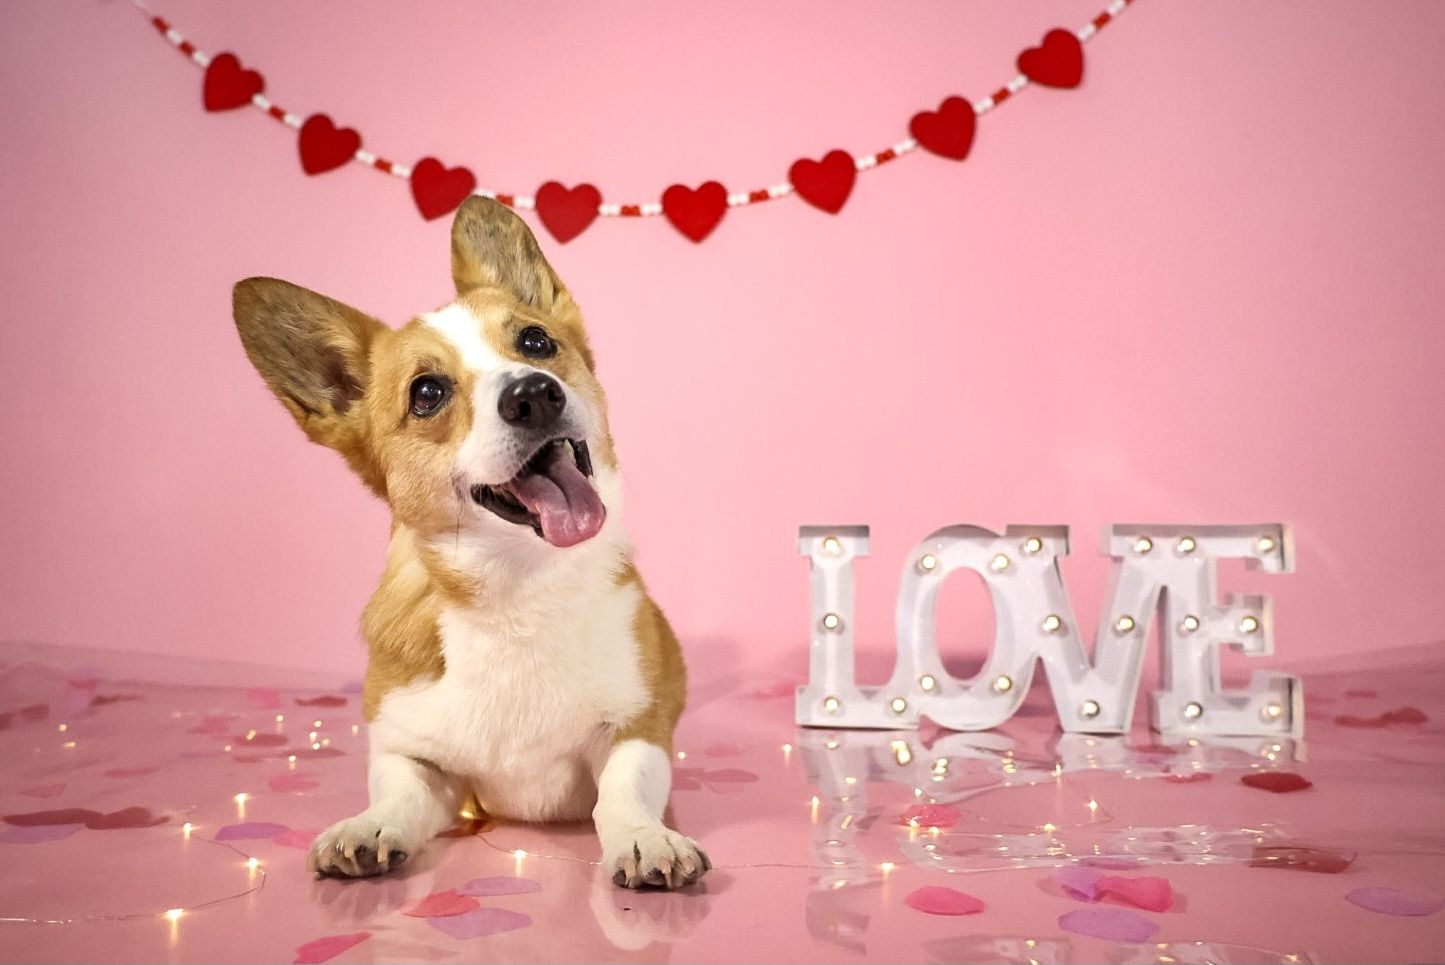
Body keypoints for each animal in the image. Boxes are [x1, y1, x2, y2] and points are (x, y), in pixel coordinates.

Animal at [231, 196, 710, 889]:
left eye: (536, 342)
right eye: (427, 393)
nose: (534, 393)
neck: (520, 585)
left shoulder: (636, 729)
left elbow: (621, 791)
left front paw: (645, 838)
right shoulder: (413, 754)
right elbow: (399, 792)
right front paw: (368, 826)